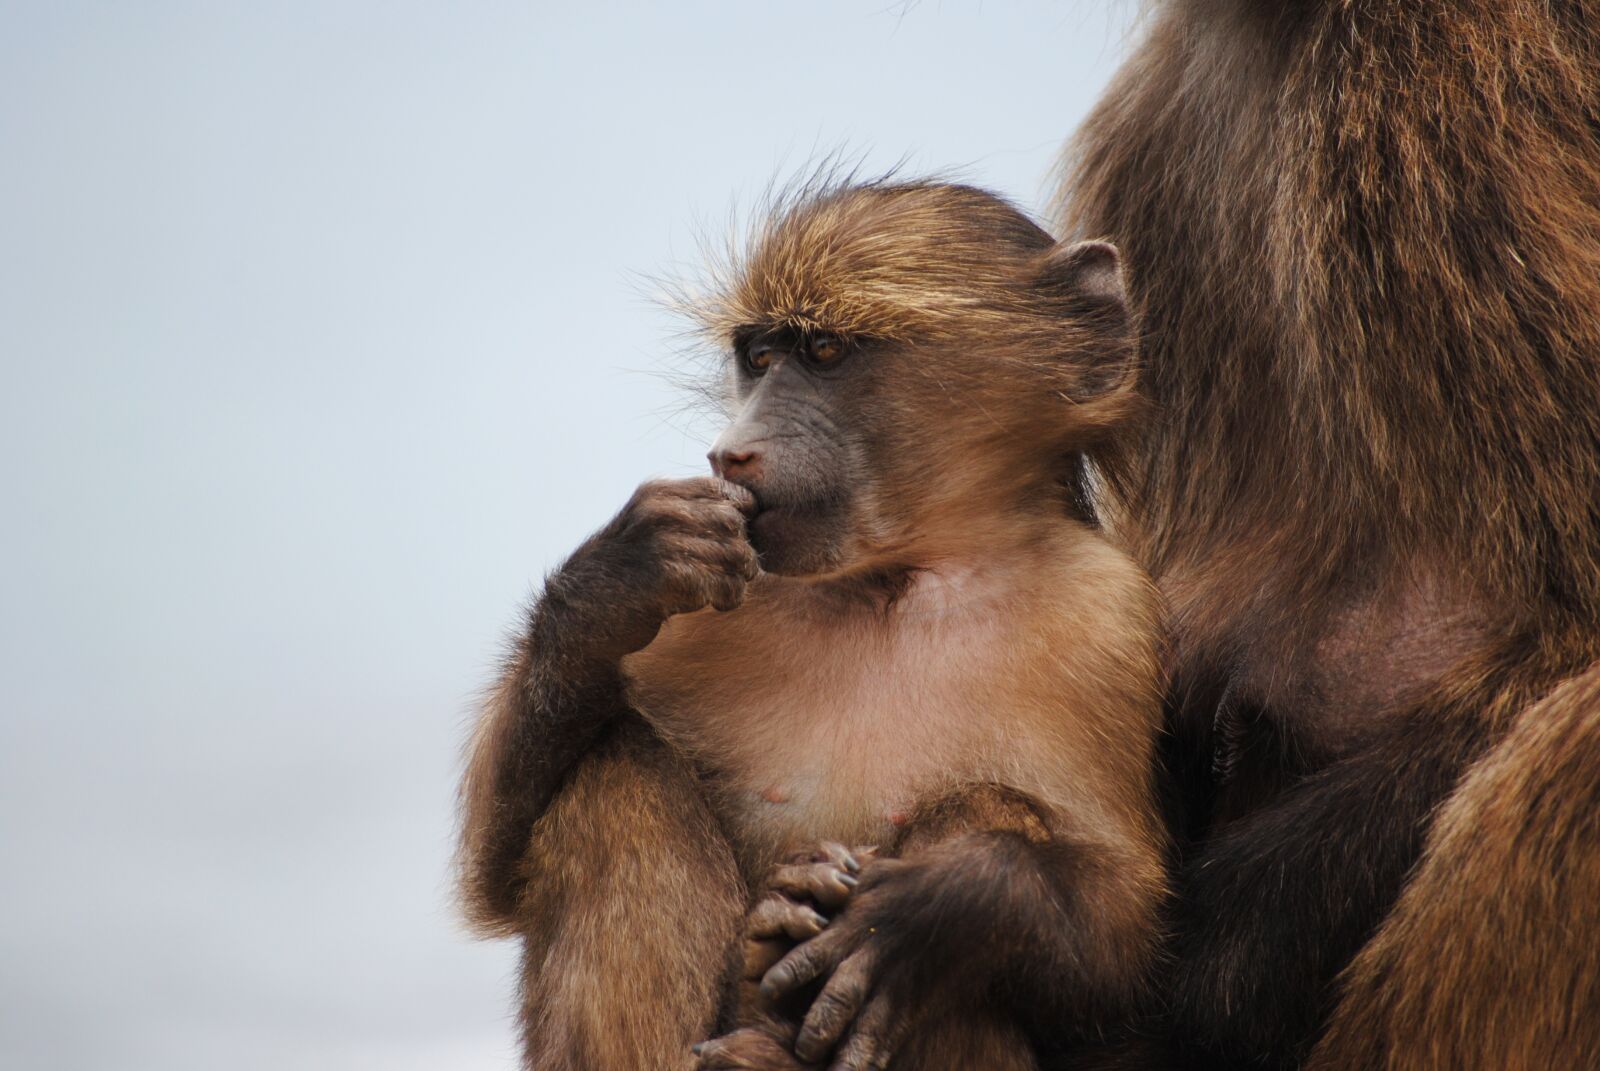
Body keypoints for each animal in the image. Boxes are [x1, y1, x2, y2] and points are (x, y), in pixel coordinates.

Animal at [456, 179, 1169, 1070]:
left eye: (825, 352)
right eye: (760, 359)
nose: (731, 454)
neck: (896, 580)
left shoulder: (1107, 611)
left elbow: (1126, 946)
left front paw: (928, 910)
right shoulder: (721, 595)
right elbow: (494, 874)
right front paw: (614, 583)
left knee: (985, 804)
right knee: (613, 770)